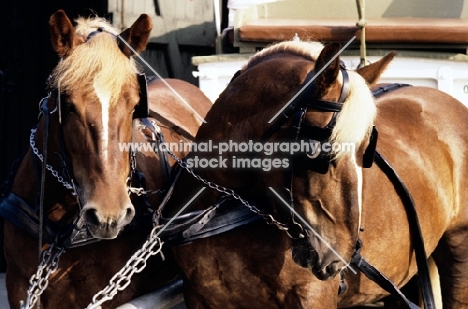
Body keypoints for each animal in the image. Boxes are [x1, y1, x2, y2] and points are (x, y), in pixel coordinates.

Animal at [159, 39, 468, 306]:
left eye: (366, 152)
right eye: (317, 152)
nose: (340, 258)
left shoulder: (312, 297)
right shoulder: (198, 297)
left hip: (458, 244)